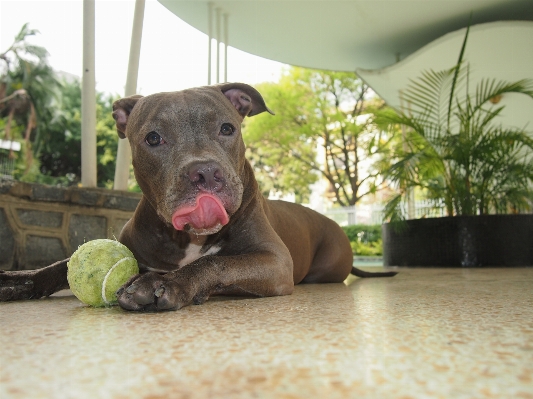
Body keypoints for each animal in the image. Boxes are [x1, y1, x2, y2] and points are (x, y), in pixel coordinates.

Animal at [0, 83, 394, 310]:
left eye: (227, 128)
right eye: (153, 138)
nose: (205, 173)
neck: (187, 238)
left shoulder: (275, 261)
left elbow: (217, 263)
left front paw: (166, 283)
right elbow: (60, 264)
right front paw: (18, 280)